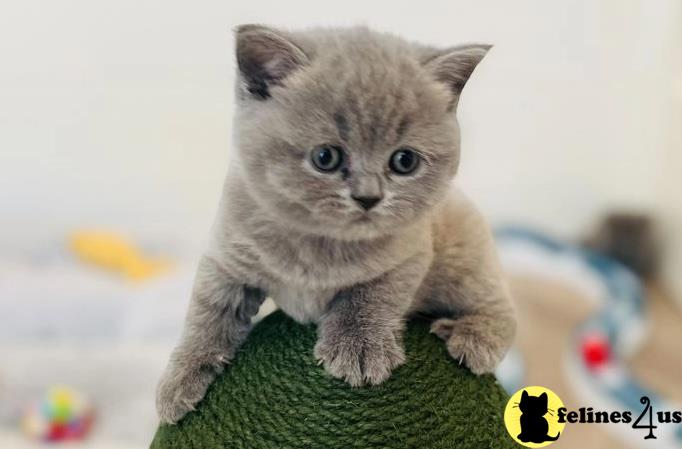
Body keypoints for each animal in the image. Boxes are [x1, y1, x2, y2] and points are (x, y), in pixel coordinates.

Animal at [155, 24, 516, 424]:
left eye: (404, 161)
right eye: (325, 157)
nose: (369, 197)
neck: (319, 242)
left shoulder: (410, 251)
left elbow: (372, 294)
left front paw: (359, 347)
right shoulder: (228, 253)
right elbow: (207, 313)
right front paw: (180, 379)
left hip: (464, 255)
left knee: (503, 308)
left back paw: (472, 337)